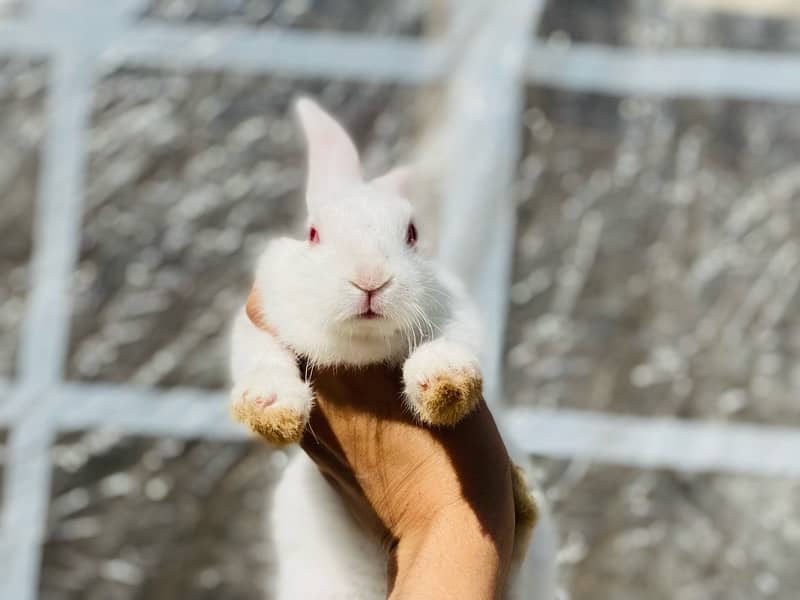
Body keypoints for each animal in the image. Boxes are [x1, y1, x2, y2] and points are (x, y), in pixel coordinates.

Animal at [230, 98, 556, 600]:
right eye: (313, 233)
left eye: (412, 234)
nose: (370, 279)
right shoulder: (257, 329)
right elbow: (263, 362)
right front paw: (270, 409)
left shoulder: (460, 319)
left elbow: (451, 346)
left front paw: (445, 385)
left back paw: (522, 498)